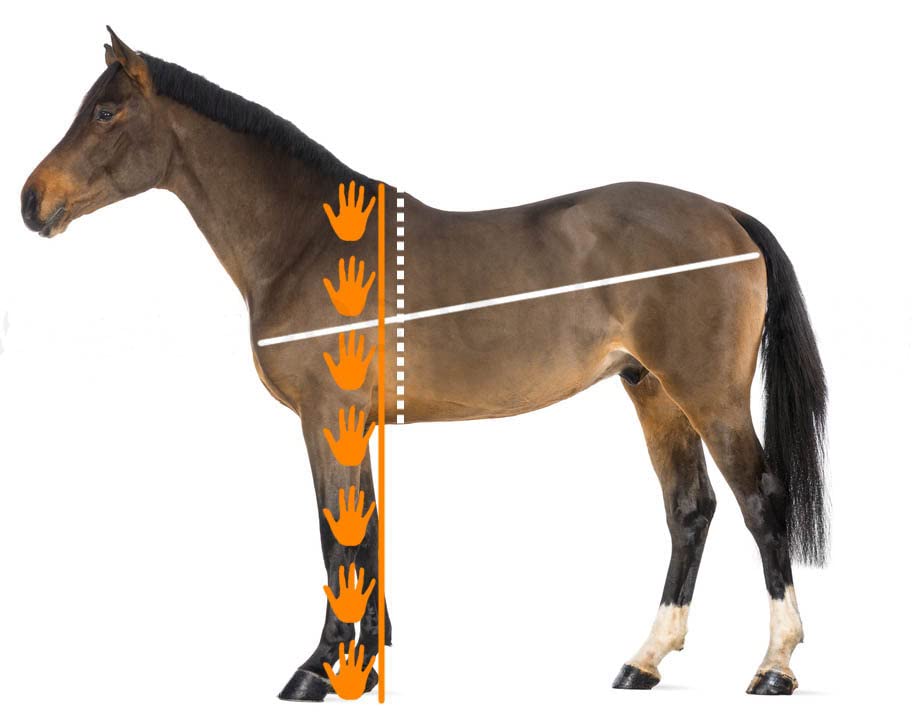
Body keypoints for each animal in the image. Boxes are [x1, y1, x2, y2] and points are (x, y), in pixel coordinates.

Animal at [20, 28, 827, 699]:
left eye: (105, 112)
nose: (33, 201)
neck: (308, 242)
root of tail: (724, 215)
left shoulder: (327, 414)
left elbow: (337, 536)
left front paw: (317, 670)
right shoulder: (349, 421)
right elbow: (361, 531)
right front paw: (365, 657)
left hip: (709, 396)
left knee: (761, 500)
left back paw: (774, 667)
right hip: (652, 391)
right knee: (689, 509)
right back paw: (643, 661)